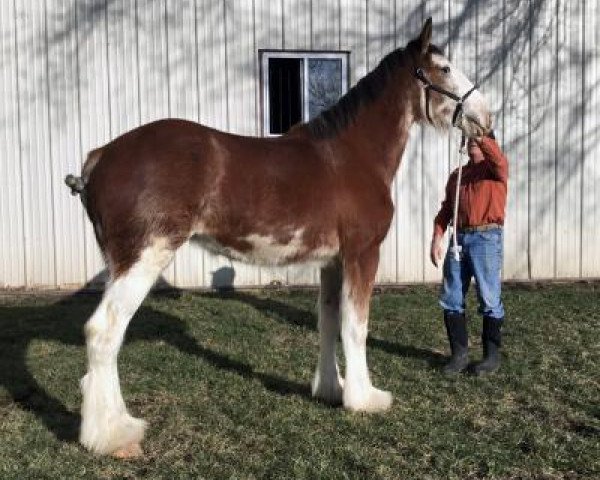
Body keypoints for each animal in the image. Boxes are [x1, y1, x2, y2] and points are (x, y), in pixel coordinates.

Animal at [65, 18, 490, 458]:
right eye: (444, 68)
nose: (485, 116)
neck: (351, 156)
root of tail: (101, 157)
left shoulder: (332, 262)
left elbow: (329, 321)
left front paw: (331, 389)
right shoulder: (362, 254)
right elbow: (356, 326)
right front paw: (366, 398)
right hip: (144, 257)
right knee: (103, 332)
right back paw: (113, 435)